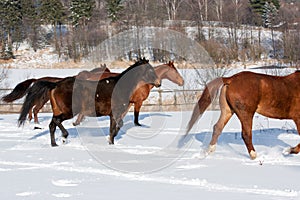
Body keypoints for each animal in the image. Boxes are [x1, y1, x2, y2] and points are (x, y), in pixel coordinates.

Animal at [18, 58, 161, 146]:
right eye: (150, 70)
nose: (158, 83)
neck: (120, 86)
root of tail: (55, 84)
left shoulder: (113, 114)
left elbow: (115, 127)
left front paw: (111, 142)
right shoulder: (115, 112)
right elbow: (115, 127)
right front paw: (111, 141)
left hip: (58, 110)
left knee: (52, 125)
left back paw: (55, 144)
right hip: (69, 111)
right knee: (56, 122)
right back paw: (64, 136)